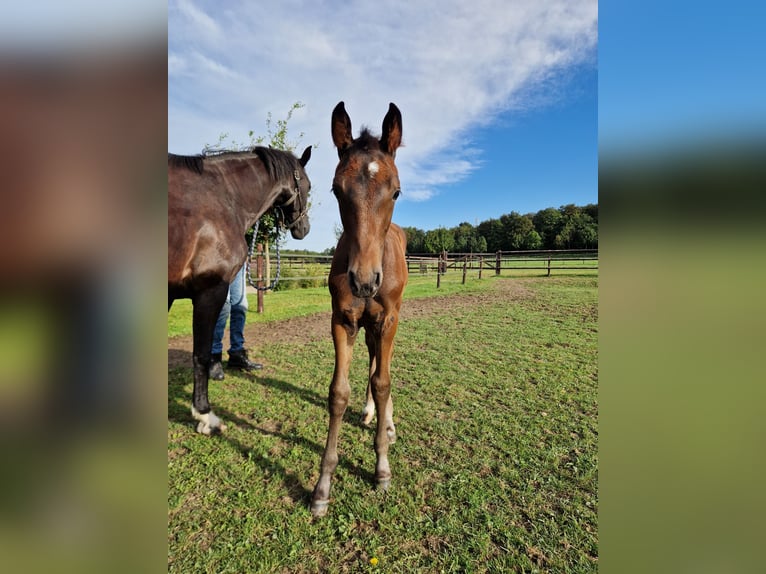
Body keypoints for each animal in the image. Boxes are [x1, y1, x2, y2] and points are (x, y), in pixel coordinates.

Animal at [169, 147, 312, 436]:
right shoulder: (210, 291)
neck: (224, 198)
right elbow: (201, 354)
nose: (304, 229)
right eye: (308, 186)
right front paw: (204, 414)